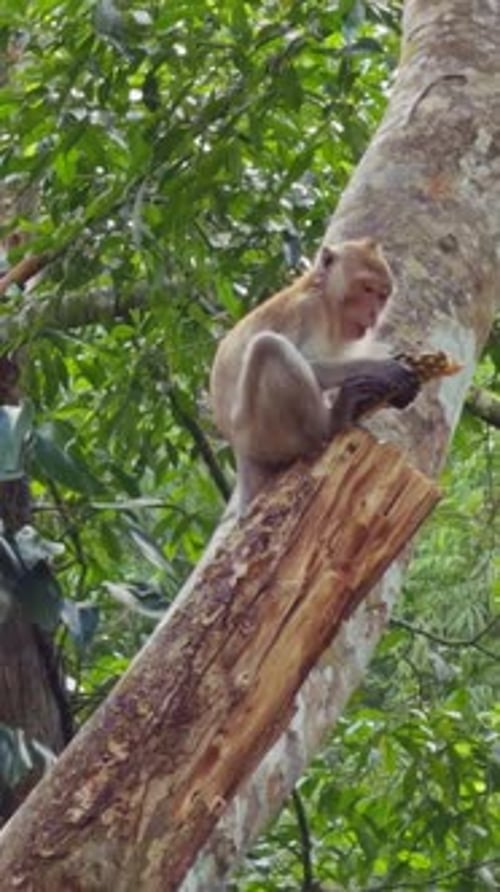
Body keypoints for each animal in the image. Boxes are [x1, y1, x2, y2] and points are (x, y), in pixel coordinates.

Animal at [210, 238, 420, 512]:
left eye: (381, 295)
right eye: (366, 288)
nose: (373, 315)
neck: (324, 298)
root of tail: (239, 448)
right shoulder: (308, 310)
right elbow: (312, 365)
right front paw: (383, 368)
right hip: (257, 431)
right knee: (269, 347)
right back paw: (331, 424)